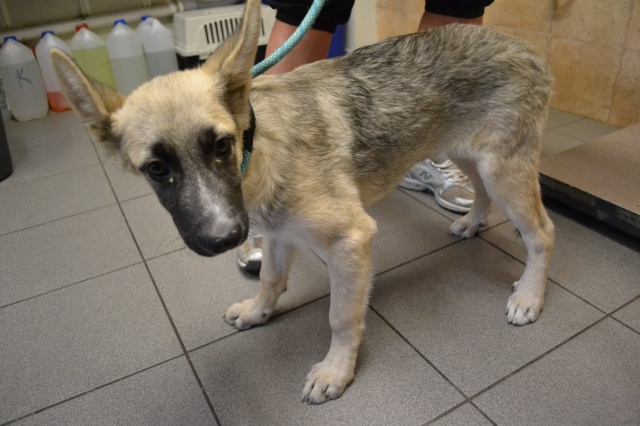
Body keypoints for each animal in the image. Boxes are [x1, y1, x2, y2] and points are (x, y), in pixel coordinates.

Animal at [51, 0, 554, 404]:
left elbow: (341, 317)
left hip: (503, 168)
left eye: (221, 146)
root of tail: (528, 49)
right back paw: (473, 221)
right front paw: (258, 311)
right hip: (468, 152)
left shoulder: (352, 241)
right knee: (485, 193)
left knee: (543, 233)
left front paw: (336, 370)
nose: (224, 238)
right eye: (156, 168)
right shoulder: (277, 233)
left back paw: (529, 295)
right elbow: (271, 279)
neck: (258, 151)